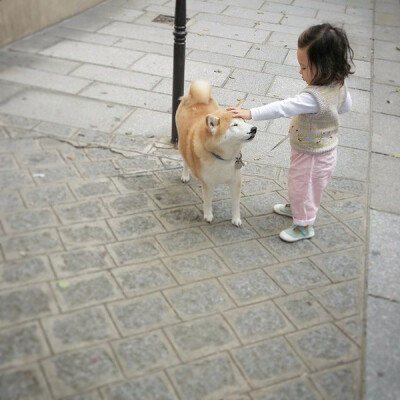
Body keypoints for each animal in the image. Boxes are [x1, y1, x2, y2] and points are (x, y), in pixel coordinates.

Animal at [175, 79, 256, 227]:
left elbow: (236, 204)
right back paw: (185, 175)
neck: (223, 158)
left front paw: (236, 219)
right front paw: (208, 215)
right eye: (234, 125)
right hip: (181, 143)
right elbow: (208, 201)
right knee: (185, 159)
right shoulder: (207, 183)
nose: (254, 129)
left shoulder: (236, 181)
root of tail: (194, 99)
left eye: (244, 121)